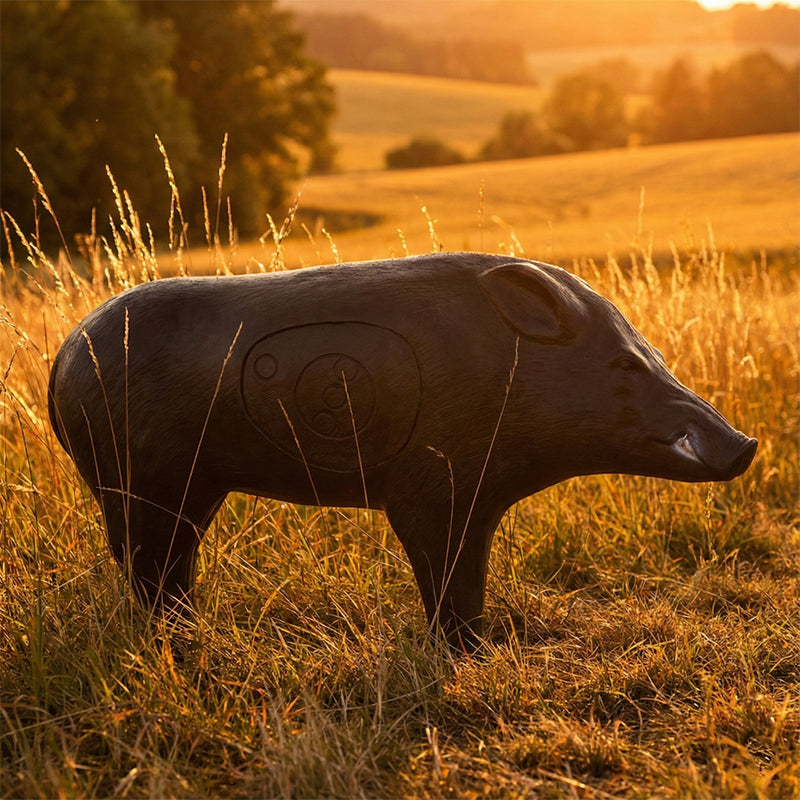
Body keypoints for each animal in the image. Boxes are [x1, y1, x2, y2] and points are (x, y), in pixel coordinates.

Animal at [48, 253, 757, 649]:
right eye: (624, 365)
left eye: (655, 354)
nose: (745, 444)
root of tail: (63, 359)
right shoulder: (432, 485)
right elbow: (446, 572)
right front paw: (465, 653)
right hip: (142, 474)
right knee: (148, 562)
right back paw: (176, 640)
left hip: (189, 485)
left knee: (166, 562)